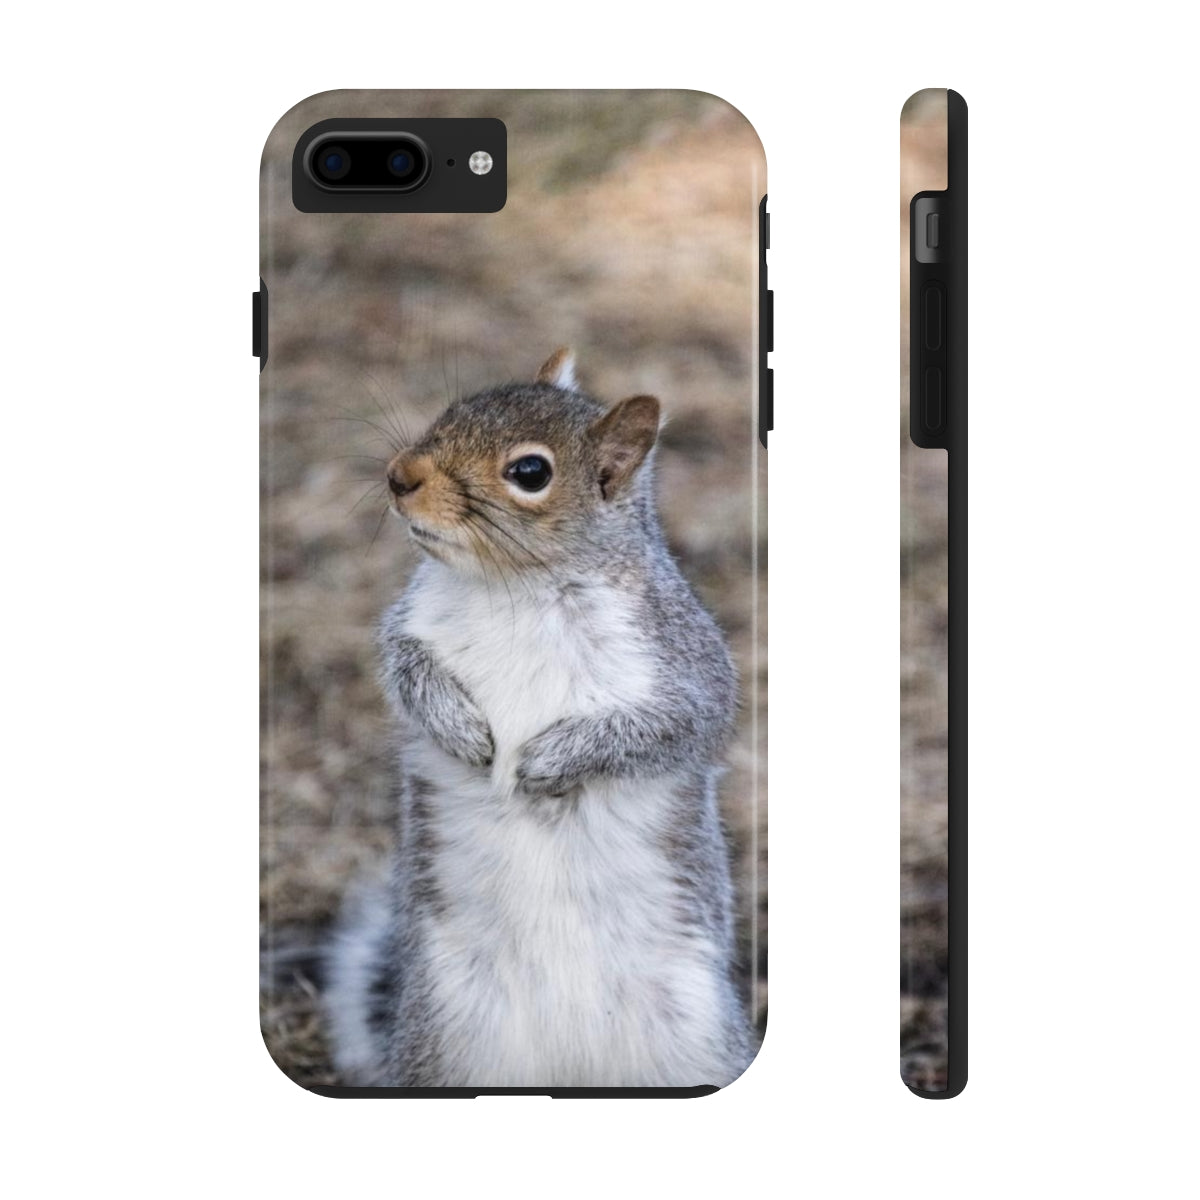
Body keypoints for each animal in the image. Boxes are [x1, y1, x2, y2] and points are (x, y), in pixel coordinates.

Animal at [325, 349, 753, 1088]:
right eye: (453, 411)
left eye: (530, 473)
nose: (399, 476)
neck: (516, 586)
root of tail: (568, 1067)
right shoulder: (409, 626)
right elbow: (405, 670)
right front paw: (462, 729)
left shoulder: (683, 666)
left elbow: (670, 727)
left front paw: (548, 761)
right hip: (452, 1038)